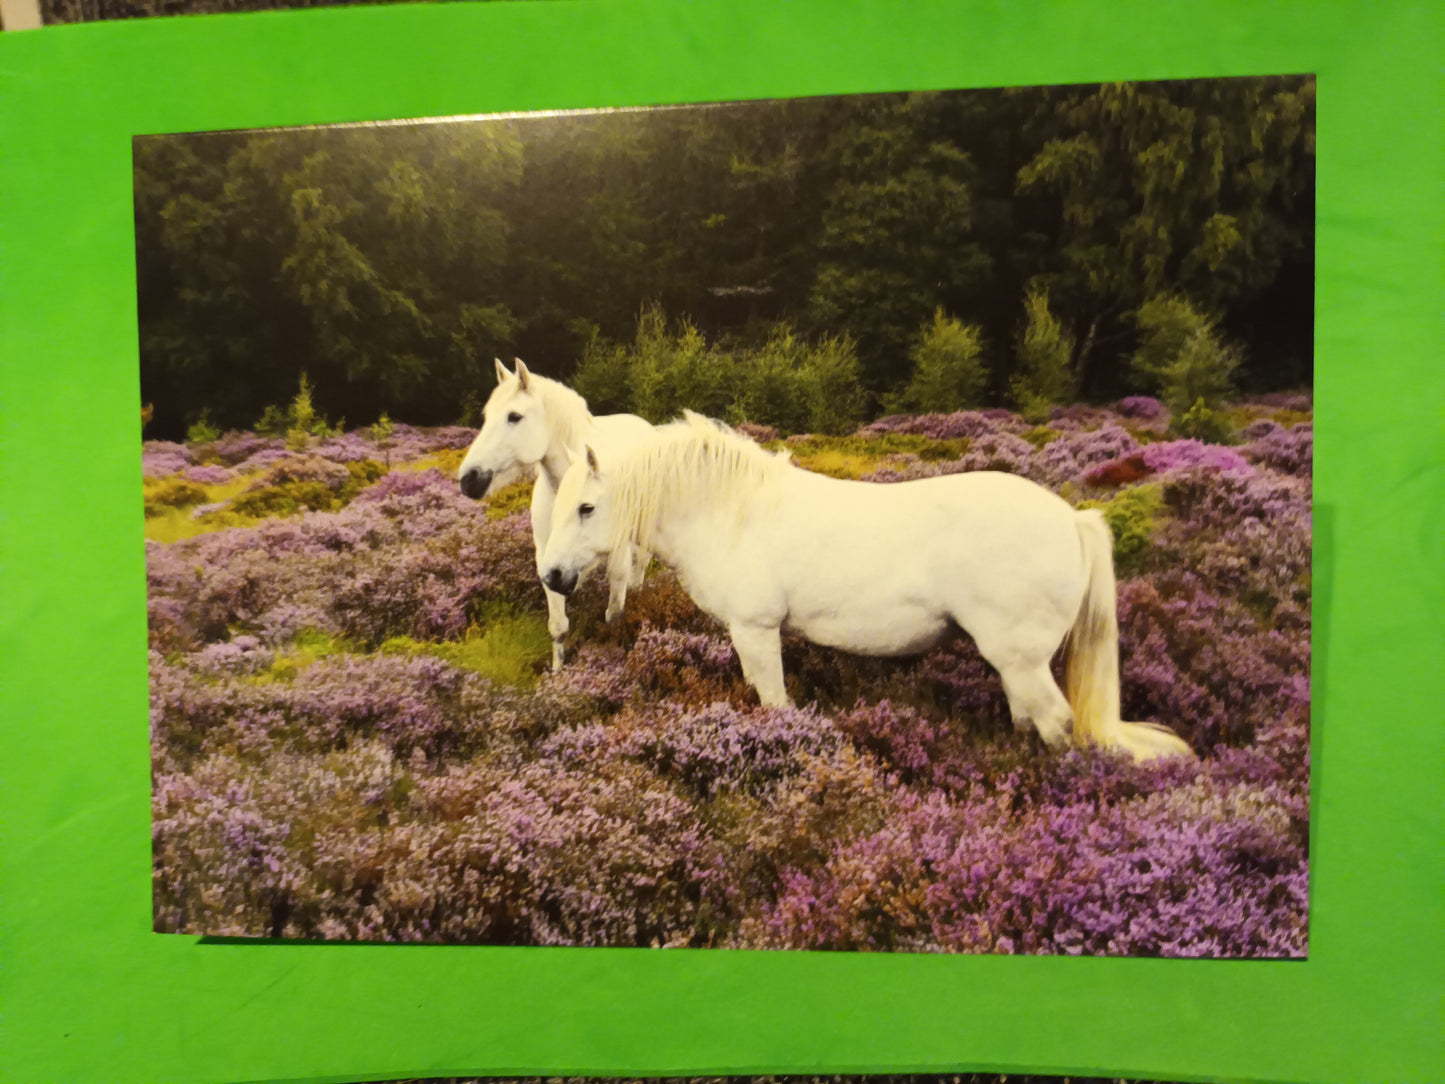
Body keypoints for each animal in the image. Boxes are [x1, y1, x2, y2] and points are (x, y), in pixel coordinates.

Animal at [456, 361, 656, 670]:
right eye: (486, 416)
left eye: (514, 416)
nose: (469, 479)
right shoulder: (548, 560)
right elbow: (559, 626)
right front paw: (557, 674)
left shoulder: (618, 556)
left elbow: (615, 612)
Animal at [543, 413, 1196, 763]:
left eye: (585, 507)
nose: (552, 576)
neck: (733, 512)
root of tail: (1072, 519)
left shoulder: (756, 631)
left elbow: (774, 704)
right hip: (1017, 665)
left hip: (1023, 661)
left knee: (1058, 726)